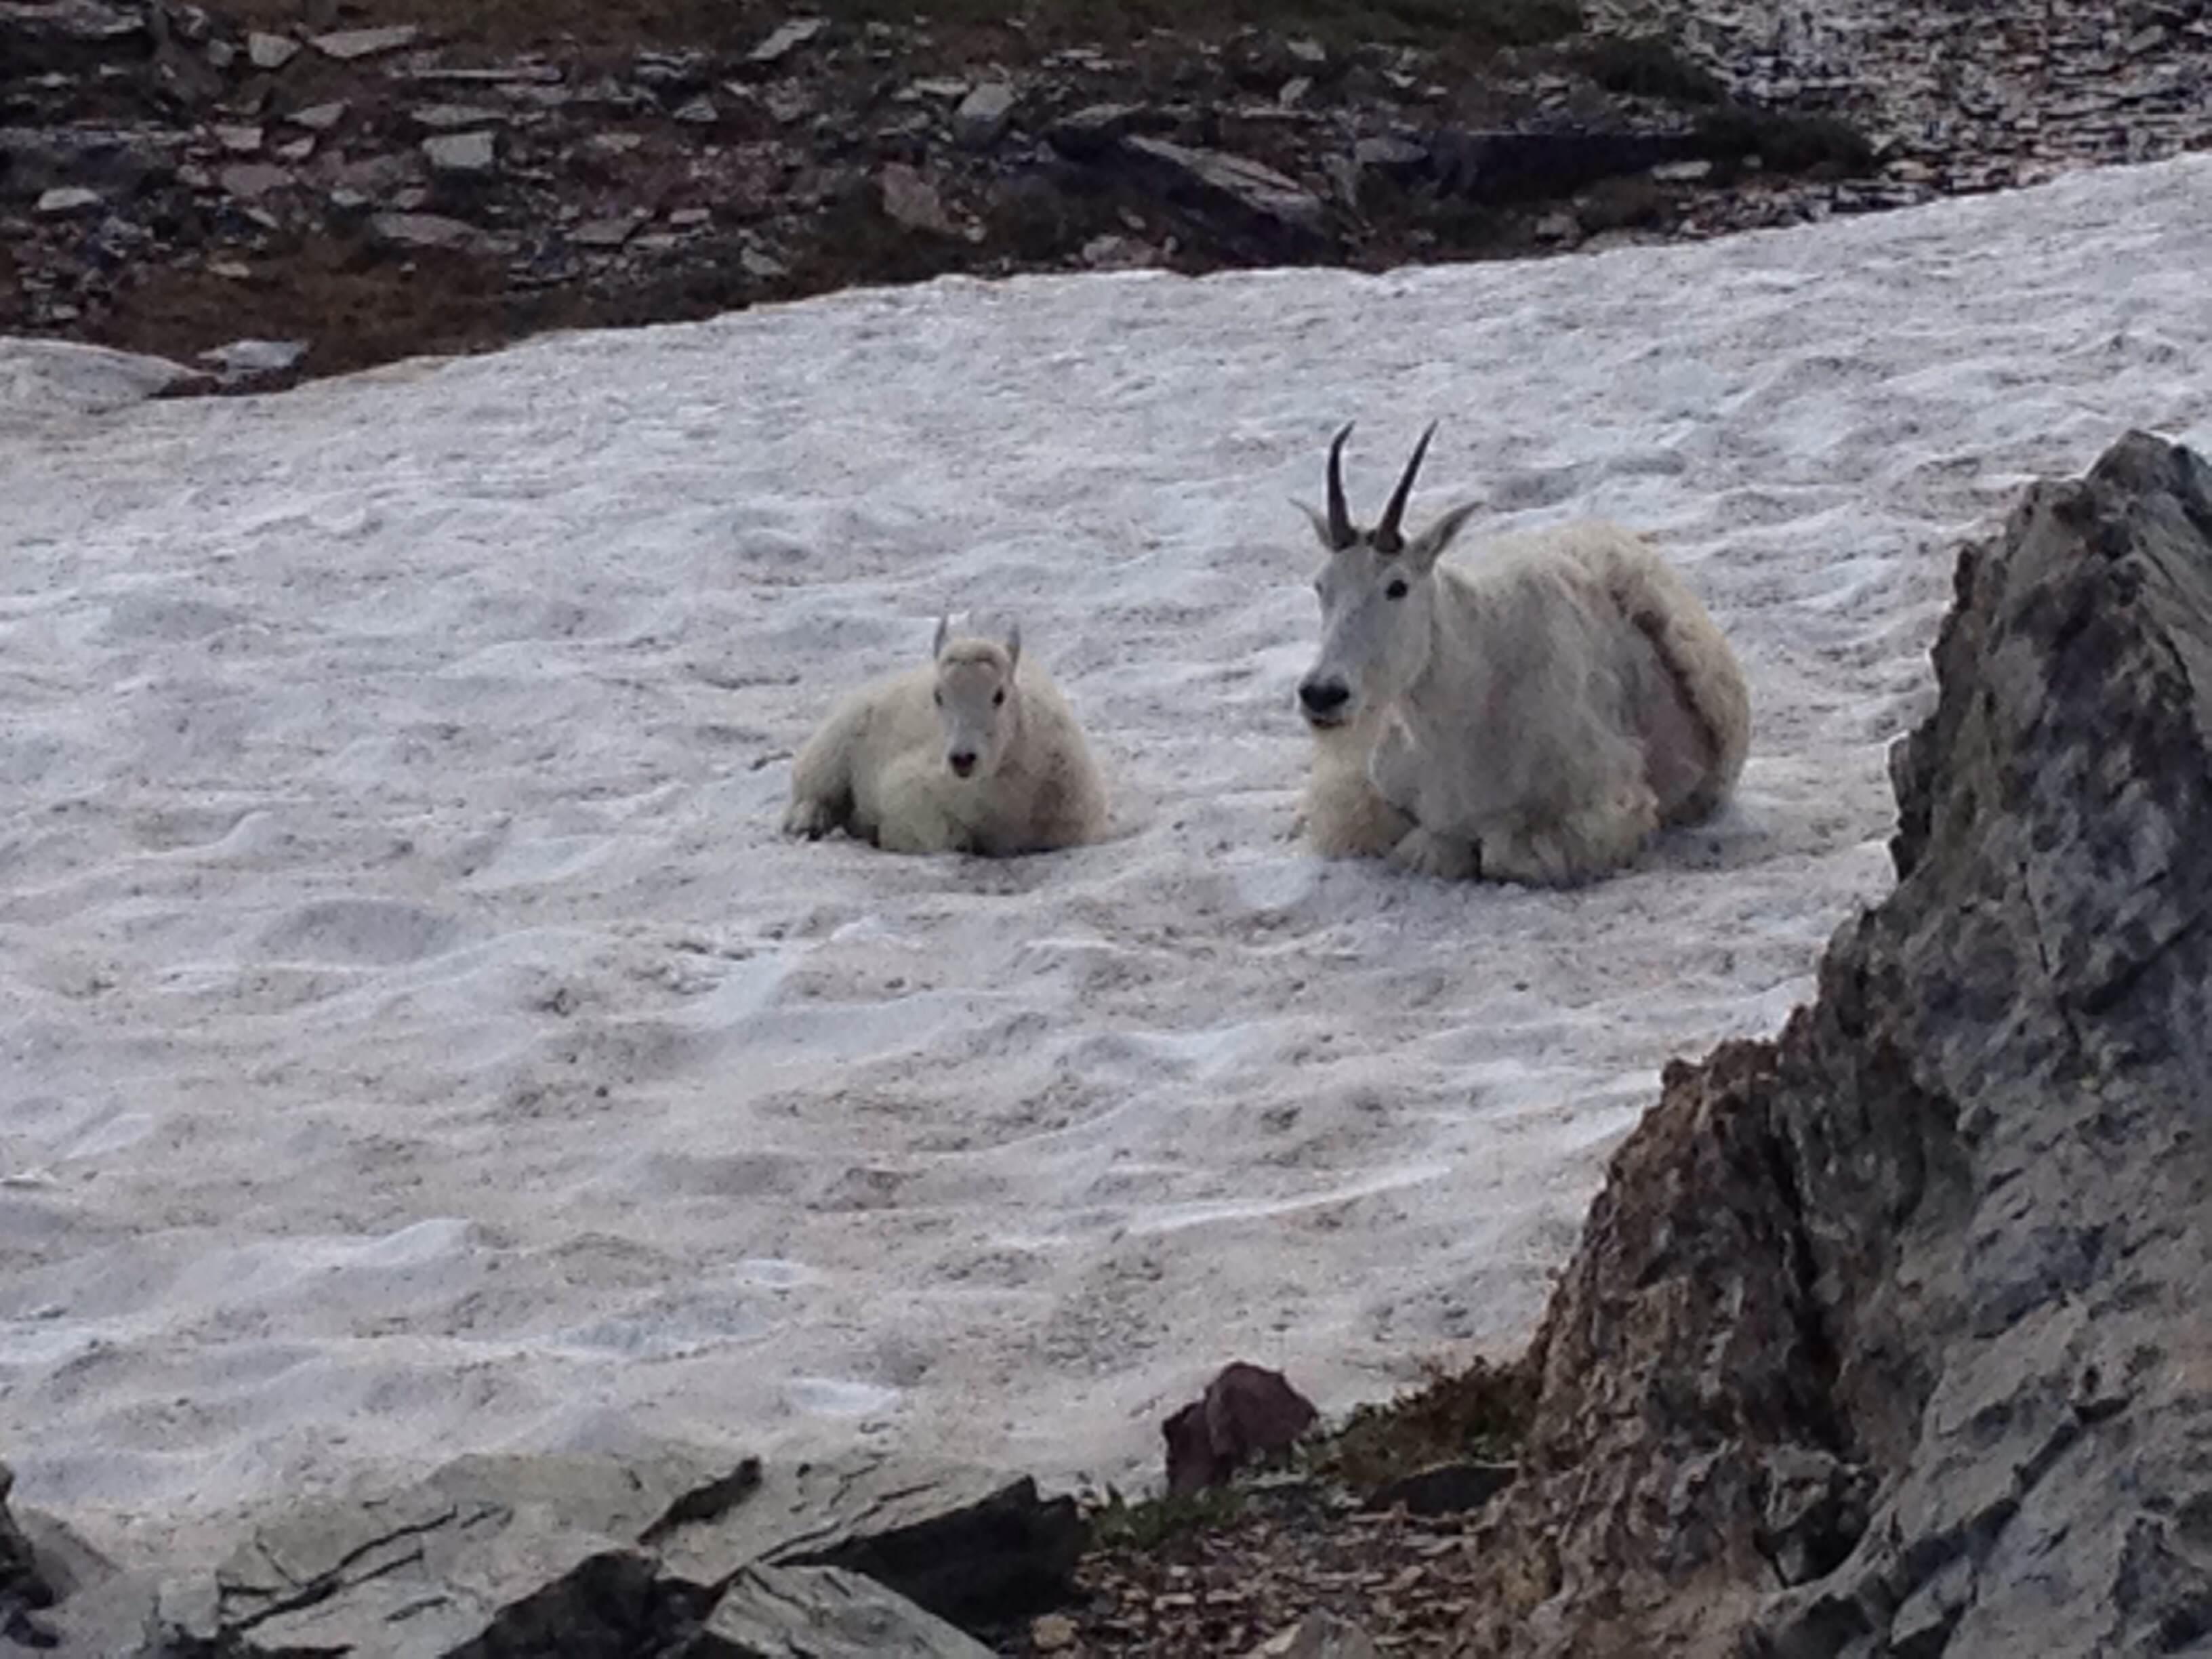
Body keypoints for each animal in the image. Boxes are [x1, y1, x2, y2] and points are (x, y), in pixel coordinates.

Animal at [787, 619, 1115, 862]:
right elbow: (947, 838)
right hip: (831, 750)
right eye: (938, 695)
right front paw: (888, 834)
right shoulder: (909, 787)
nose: (962, 759)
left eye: (999, 695)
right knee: (813, 794)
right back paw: (809, 823)